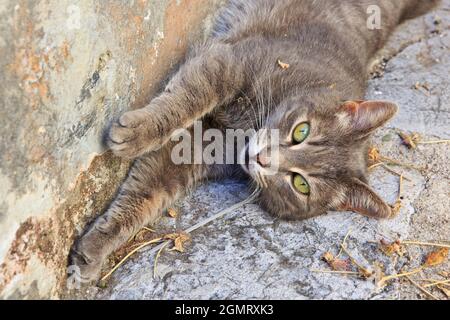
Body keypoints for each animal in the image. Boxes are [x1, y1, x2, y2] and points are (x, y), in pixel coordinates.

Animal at [69, 0, 440, 282]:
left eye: (300, 184)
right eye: (301, 131)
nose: (263, 159)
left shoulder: (191, 150)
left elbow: (145, 196)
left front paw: (94, 251)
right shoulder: (229, 62)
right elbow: (185, 101)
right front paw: (136, 133)